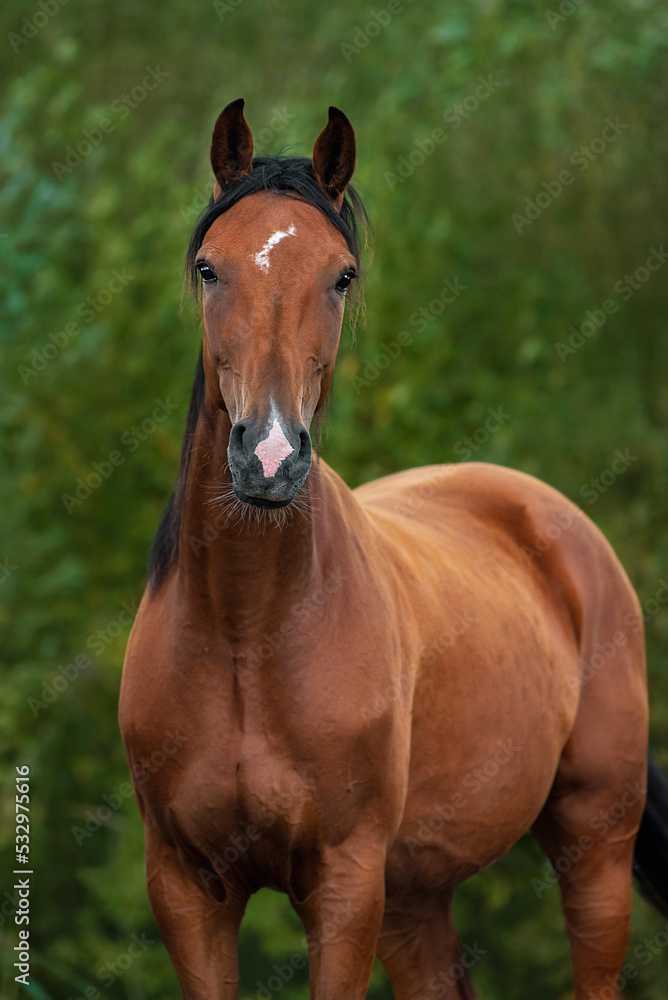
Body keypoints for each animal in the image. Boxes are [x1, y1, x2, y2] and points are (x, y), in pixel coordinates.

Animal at [120, 101, 668, 1000]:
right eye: (208, 268)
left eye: (341, 275)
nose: (269, 456)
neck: (245, 632)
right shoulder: (186, 887)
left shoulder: (344, 884)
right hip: (417, 893)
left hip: (593, 841)